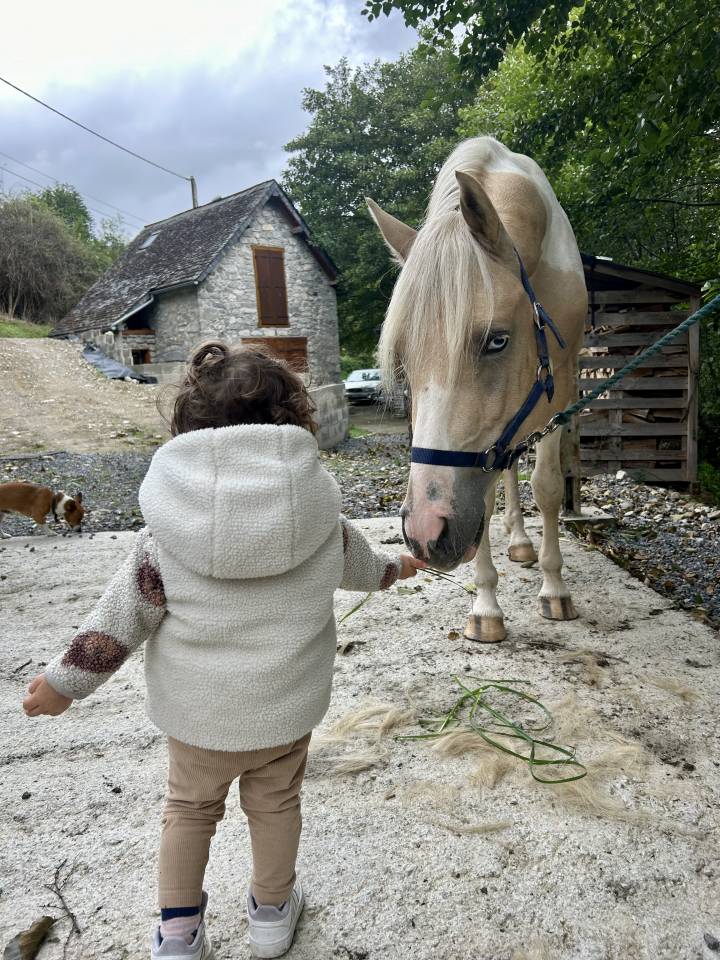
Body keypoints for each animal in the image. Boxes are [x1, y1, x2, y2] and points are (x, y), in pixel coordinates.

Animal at [368, 136, 587, 643]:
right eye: (402, 359)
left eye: (497, 340)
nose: (426, 533)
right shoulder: (479, 458)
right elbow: (484, 499)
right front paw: (486, 606)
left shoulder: (559, 389)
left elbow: (547, 488)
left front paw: (554, 588)